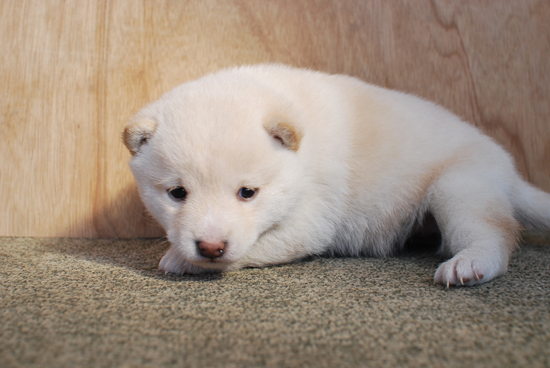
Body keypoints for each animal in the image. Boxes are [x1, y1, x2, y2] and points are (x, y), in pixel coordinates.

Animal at [125, 64, 550, 286]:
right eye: (177, 193)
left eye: (248, 192)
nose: (210, 247)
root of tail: (509, 173)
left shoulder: (310, 220)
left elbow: (259, 245)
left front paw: (179, 259)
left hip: (458, 188)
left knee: (493, 234)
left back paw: (469, 264)